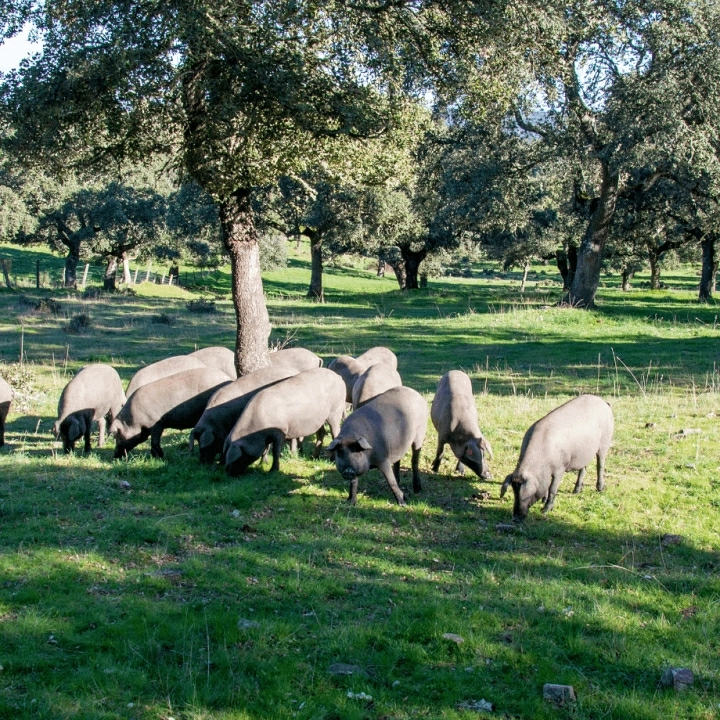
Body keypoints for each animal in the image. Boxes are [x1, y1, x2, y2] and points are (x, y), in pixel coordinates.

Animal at [500, 390, 612, 520]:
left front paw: (545, 510)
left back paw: (600, 489)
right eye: (514, 492)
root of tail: (604, 403)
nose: (516, 517)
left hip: (605, 442)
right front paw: (543, 501)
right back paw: (576, 491)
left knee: (600, 464)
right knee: (583, 468)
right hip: (584, 452)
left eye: (527, 494)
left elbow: (553, 488)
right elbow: (547, 485)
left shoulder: (560, 468)